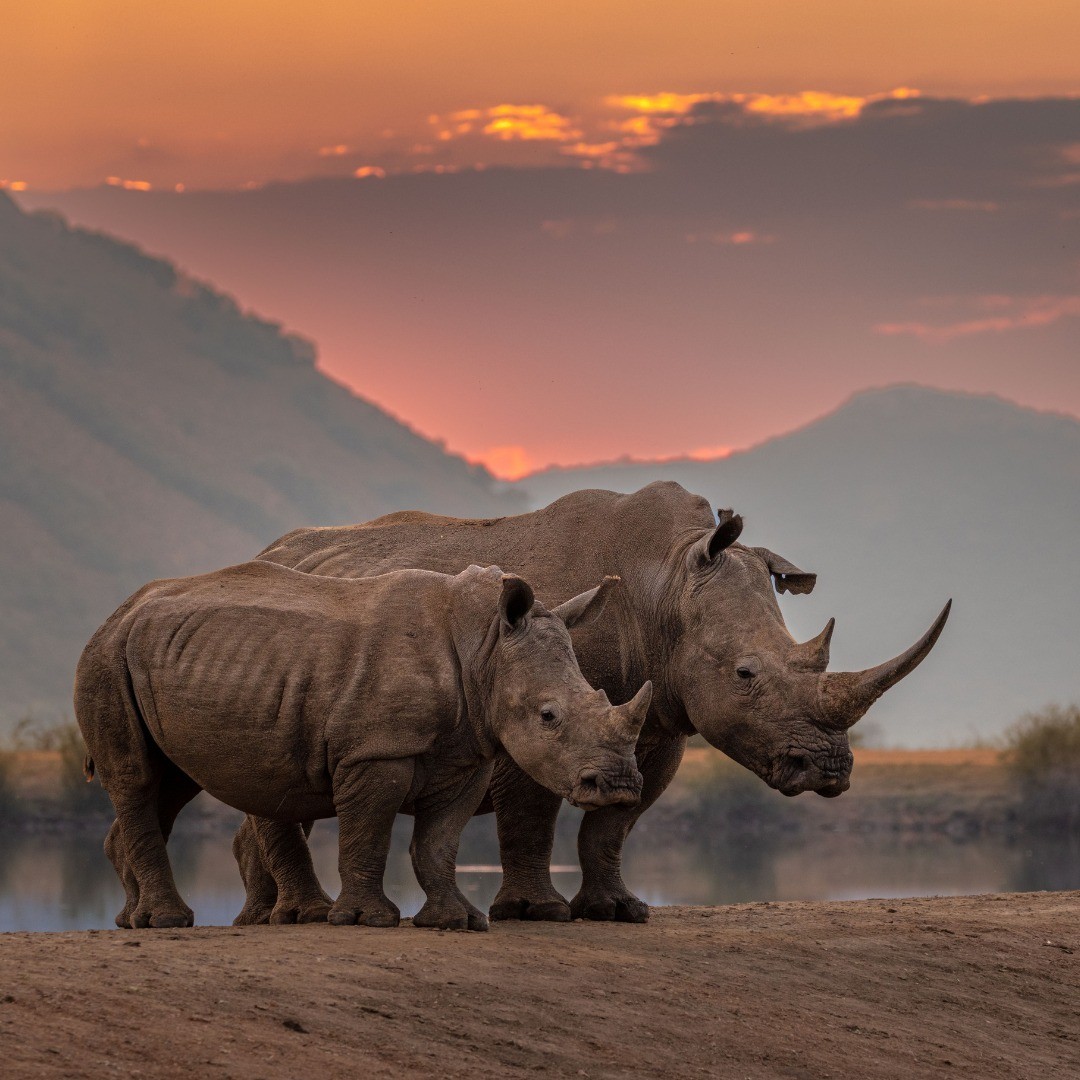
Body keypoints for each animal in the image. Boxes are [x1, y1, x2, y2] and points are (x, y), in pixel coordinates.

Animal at [75, 562, 651, 930]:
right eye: (548, 716)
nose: (621, 787)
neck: (484, 645)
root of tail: (119, 612)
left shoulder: (469, 753)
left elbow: (439, 842)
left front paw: (457, 921)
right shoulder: (376, 751)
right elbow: (368, 832)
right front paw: (367, 921)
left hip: (174, 656)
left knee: (171, 783)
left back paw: (131, 920)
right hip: (104, 657)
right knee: (136, 777)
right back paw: (167, 921)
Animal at [226, 482, 950, 925]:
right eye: (746, 673)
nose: (829, 771)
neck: (665, 582)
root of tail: (264, 551)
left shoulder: (660, 727)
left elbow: (613, 825)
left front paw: (618, 911)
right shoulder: (533, 717)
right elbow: (531, 816)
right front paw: (537, 912)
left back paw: (260, 918)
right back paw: (294, 918)